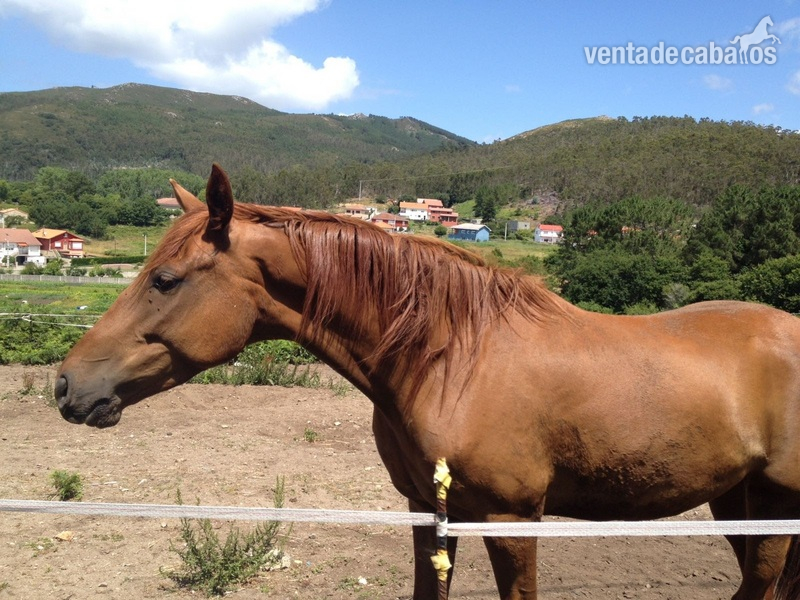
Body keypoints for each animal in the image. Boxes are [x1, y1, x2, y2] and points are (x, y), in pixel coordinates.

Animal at [55, 164, 800, 600]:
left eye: (165, 279)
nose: (66, 385)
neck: (451, 359)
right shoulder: (429, 514)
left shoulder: (511, 520)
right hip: (736, 499)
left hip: (774, 500)